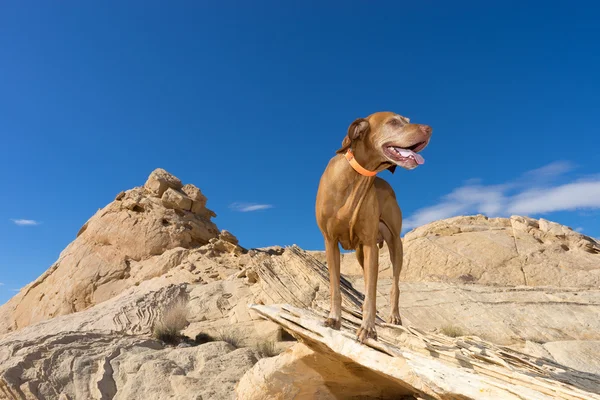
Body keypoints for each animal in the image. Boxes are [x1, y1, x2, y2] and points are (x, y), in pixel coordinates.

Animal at [314, 111, 432, 342]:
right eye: (394, 122)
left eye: (407, 120)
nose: (429, 129)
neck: (356, 177)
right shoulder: (330, 242)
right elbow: (335, 287)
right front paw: (334, 319)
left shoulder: (370, 244)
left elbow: (371, 291)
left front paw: (368, 328)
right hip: (361, 253)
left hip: (395, 245)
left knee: (394, 285)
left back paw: (394, 316)